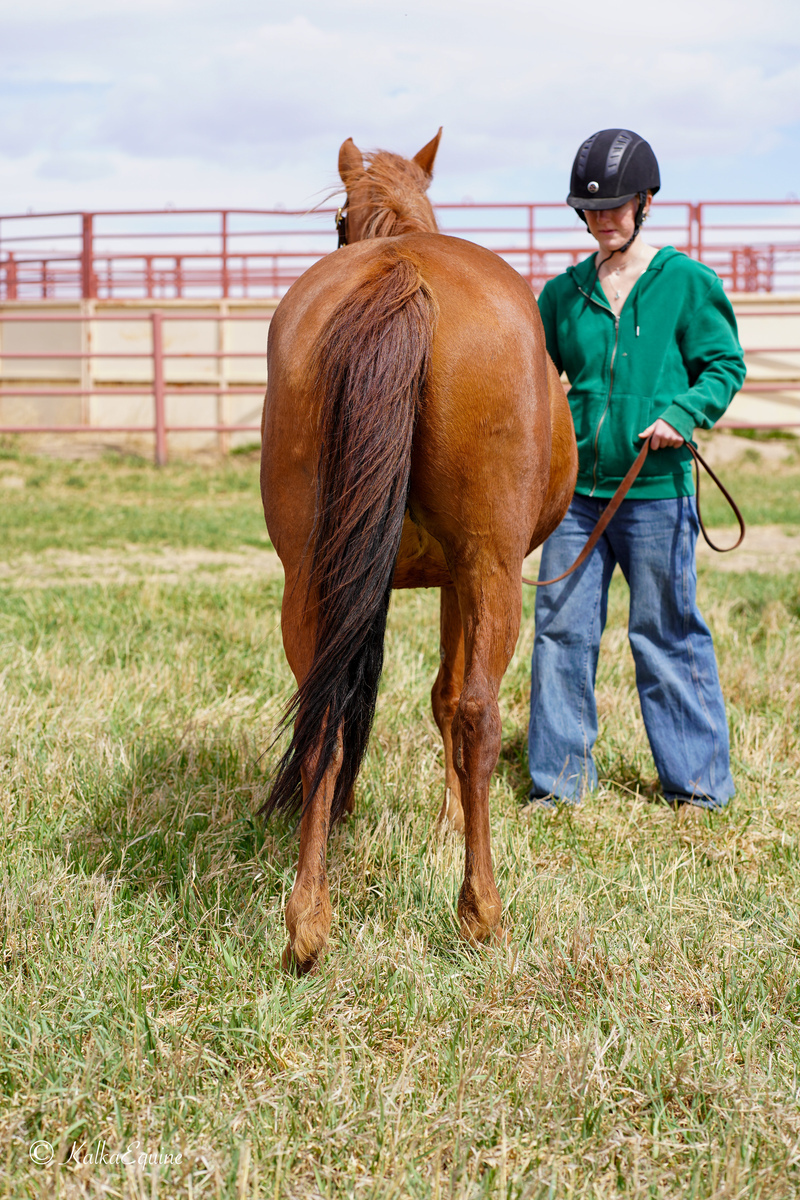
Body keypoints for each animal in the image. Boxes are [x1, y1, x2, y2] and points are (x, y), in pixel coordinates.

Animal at [260, 129, 577, 972]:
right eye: (338, 221)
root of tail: (400, 270)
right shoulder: (459, 580)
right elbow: (445, 698)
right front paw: (447, 829)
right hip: (491, 570)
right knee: (478, 712)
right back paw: (481, 910)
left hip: (308, 573)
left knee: (323, 710)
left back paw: (307, 922)